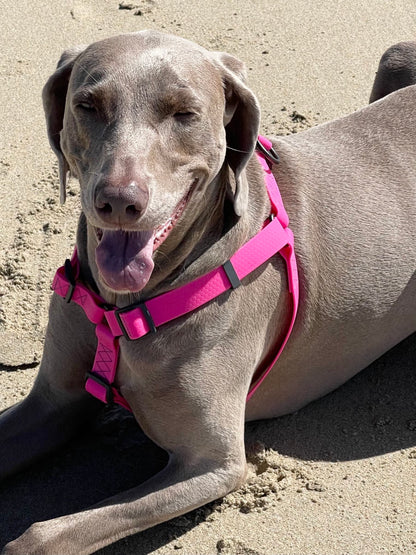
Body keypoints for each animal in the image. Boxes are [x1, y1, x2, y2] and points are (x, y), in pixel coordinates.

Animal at [0, 33, 416, 555]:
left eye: (184, 113)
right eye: (88, 105)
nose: (118, 201)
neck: (123, 310)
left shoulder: (212, 464)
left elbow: (42, 535)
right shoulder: (54, 402)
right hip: (397, 56)